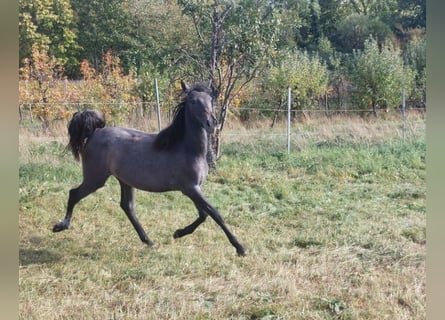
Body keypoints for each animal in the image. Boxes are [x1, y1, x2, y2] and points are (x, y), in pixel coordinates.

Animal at [53, 82, 246, 255]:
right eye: (192, 101)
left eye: (211, 99)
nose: (211, 123)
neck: (188, 149)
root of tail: (95, 132)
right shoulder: (190, 188)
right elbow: (214, 214)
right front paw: (240, 248)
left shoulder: (195, 188)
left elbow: (203, 215)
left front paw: (178, 233)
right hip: (95, 179)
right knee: (74, 194)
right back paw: (61, 226)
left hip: (124, 180)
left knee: (127, 207)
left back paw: (149, 242)